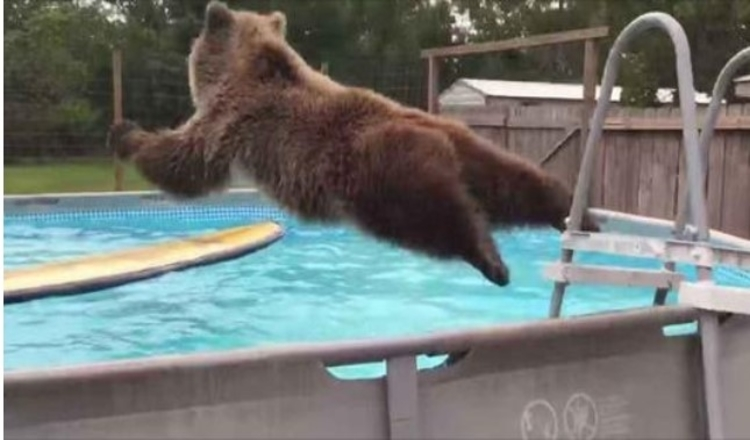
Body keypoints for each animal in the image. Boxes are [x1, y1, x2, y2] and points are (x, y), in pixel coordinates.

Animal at [107, 0, 600, 288]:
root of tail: (437, 133)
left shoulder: (231, 120)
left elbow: (185, 162)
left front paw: (125, 133)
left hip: (378, 177)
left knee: (437, 218)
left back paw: (490, 260)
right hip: (474, 152)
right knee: (518, 185)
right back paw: (575, 214)